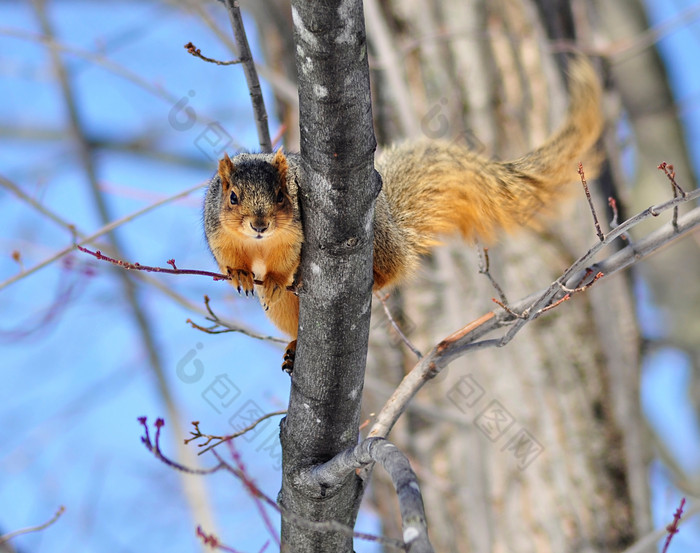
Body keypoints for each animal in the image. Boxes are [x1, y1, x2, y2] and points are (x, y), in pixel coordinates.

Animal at [202, 57, 600, 370]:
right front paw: (241, 274)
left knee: (390, 271)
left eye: (283, 194)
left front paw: (271, 279)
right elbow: (227, 260)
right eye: (232, 197)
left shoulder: (294, 236)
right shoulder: (219, 235)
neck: (261, 244)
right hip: (283, 310)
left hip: (378, 240)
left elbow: (286, 263)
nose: (260, 224)